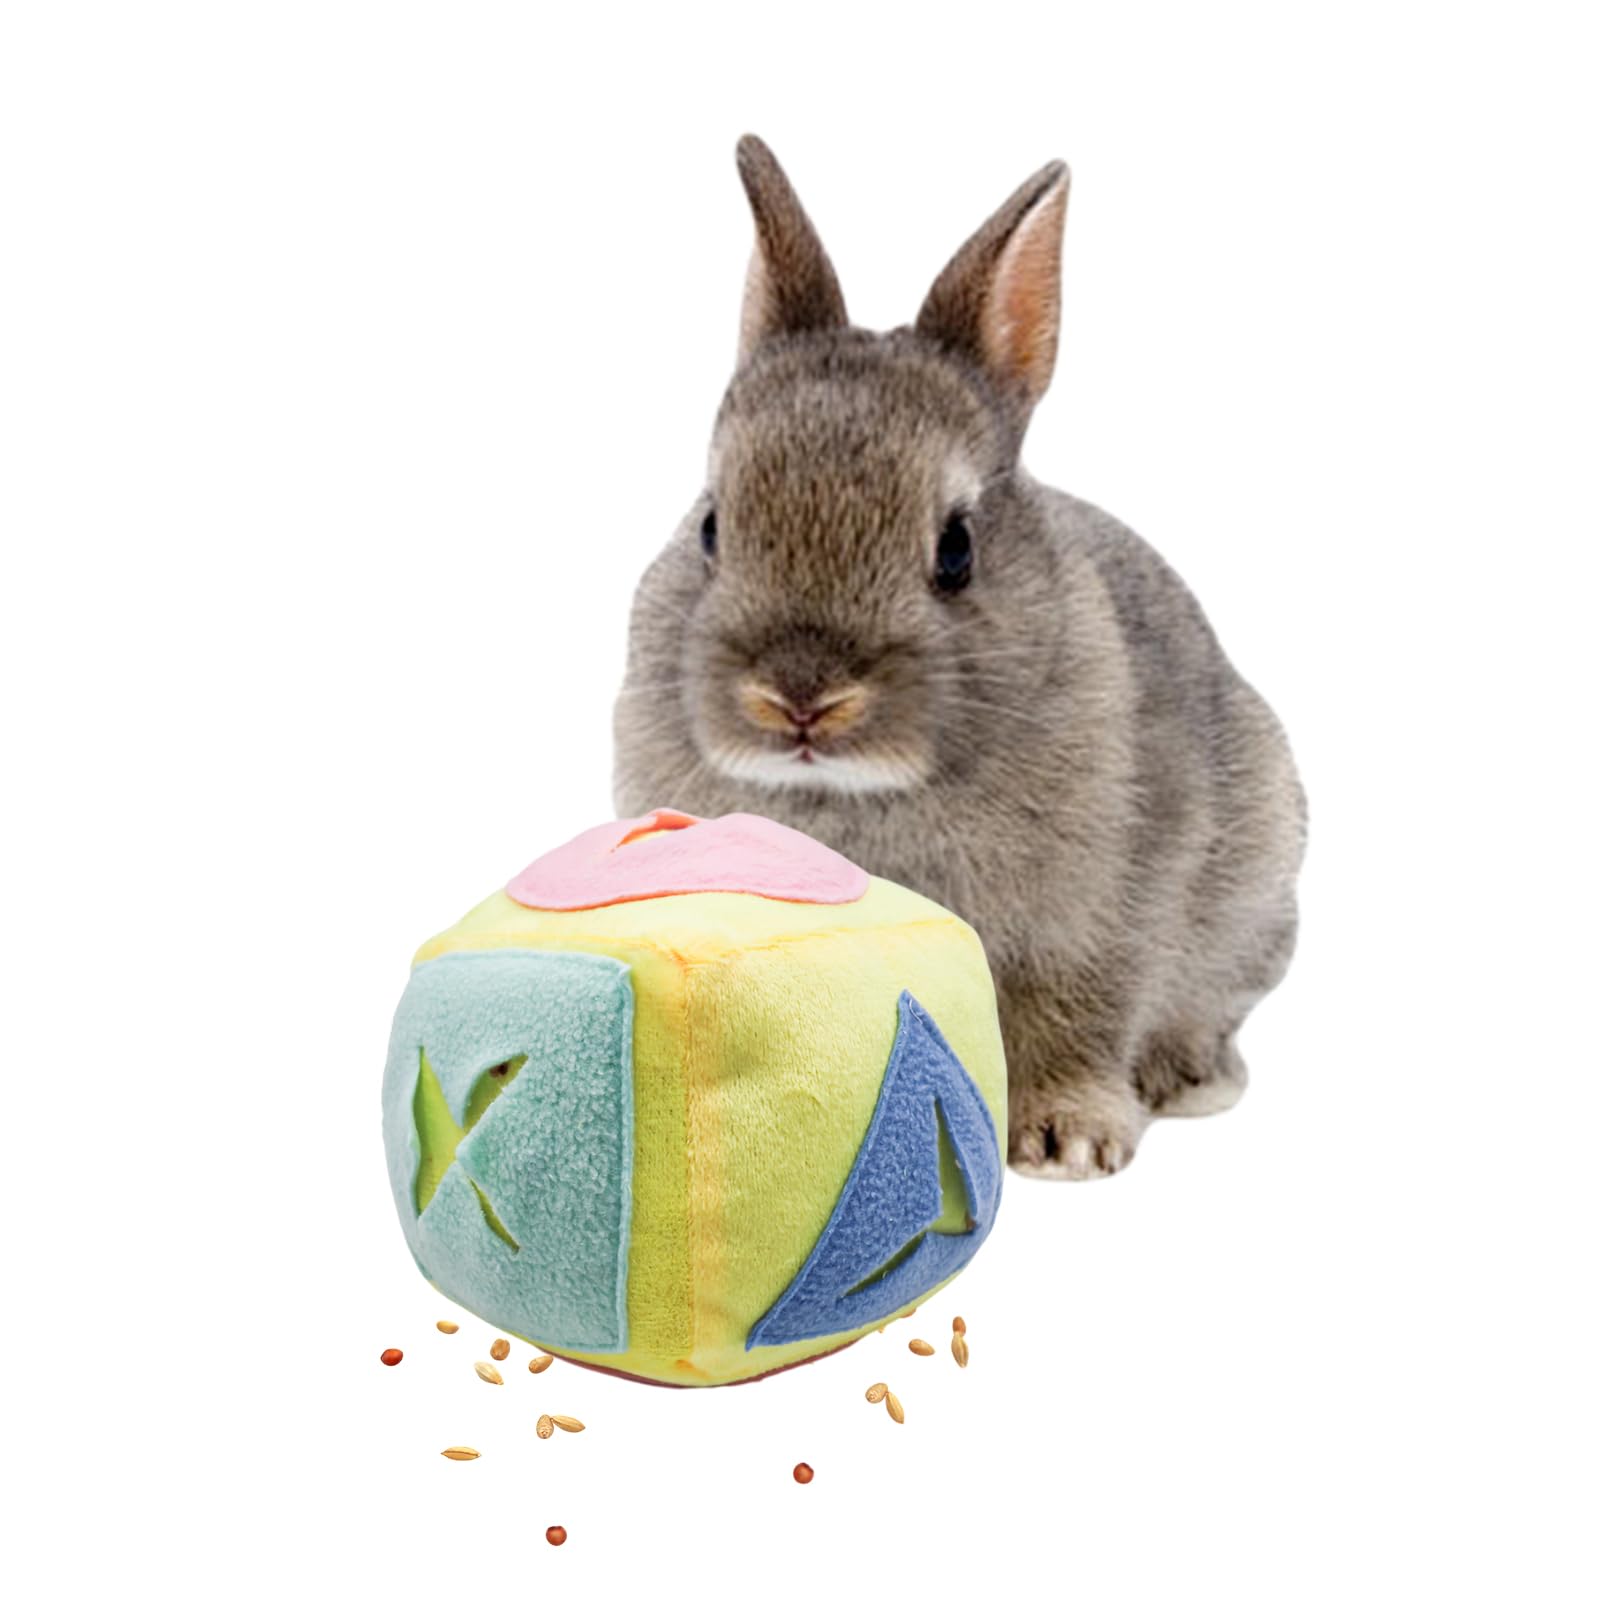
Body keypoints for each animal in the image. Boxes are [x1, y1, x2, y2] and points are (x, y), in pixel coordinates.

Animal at [614, 135, 1306, 1179]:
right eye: (710, 527)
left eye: (956, 549)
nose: (802, 697)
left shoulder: (1094, 920)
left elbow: (1076, 1016)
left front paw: (1067, 1141)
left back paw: (1189, 1079)